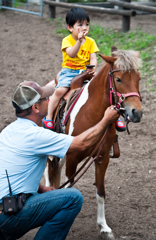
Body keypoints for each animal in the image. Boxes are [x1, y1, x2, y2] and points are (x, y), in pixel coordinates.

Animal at [43, 49, 143, 240]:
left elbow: (101, 192)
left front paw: (104, 228)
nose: (137, 112)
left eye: (139, 78)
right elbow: (70, 187)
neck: (93, 114)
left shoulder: (102, 157)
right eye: (118, 79)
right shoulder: (73, 158)